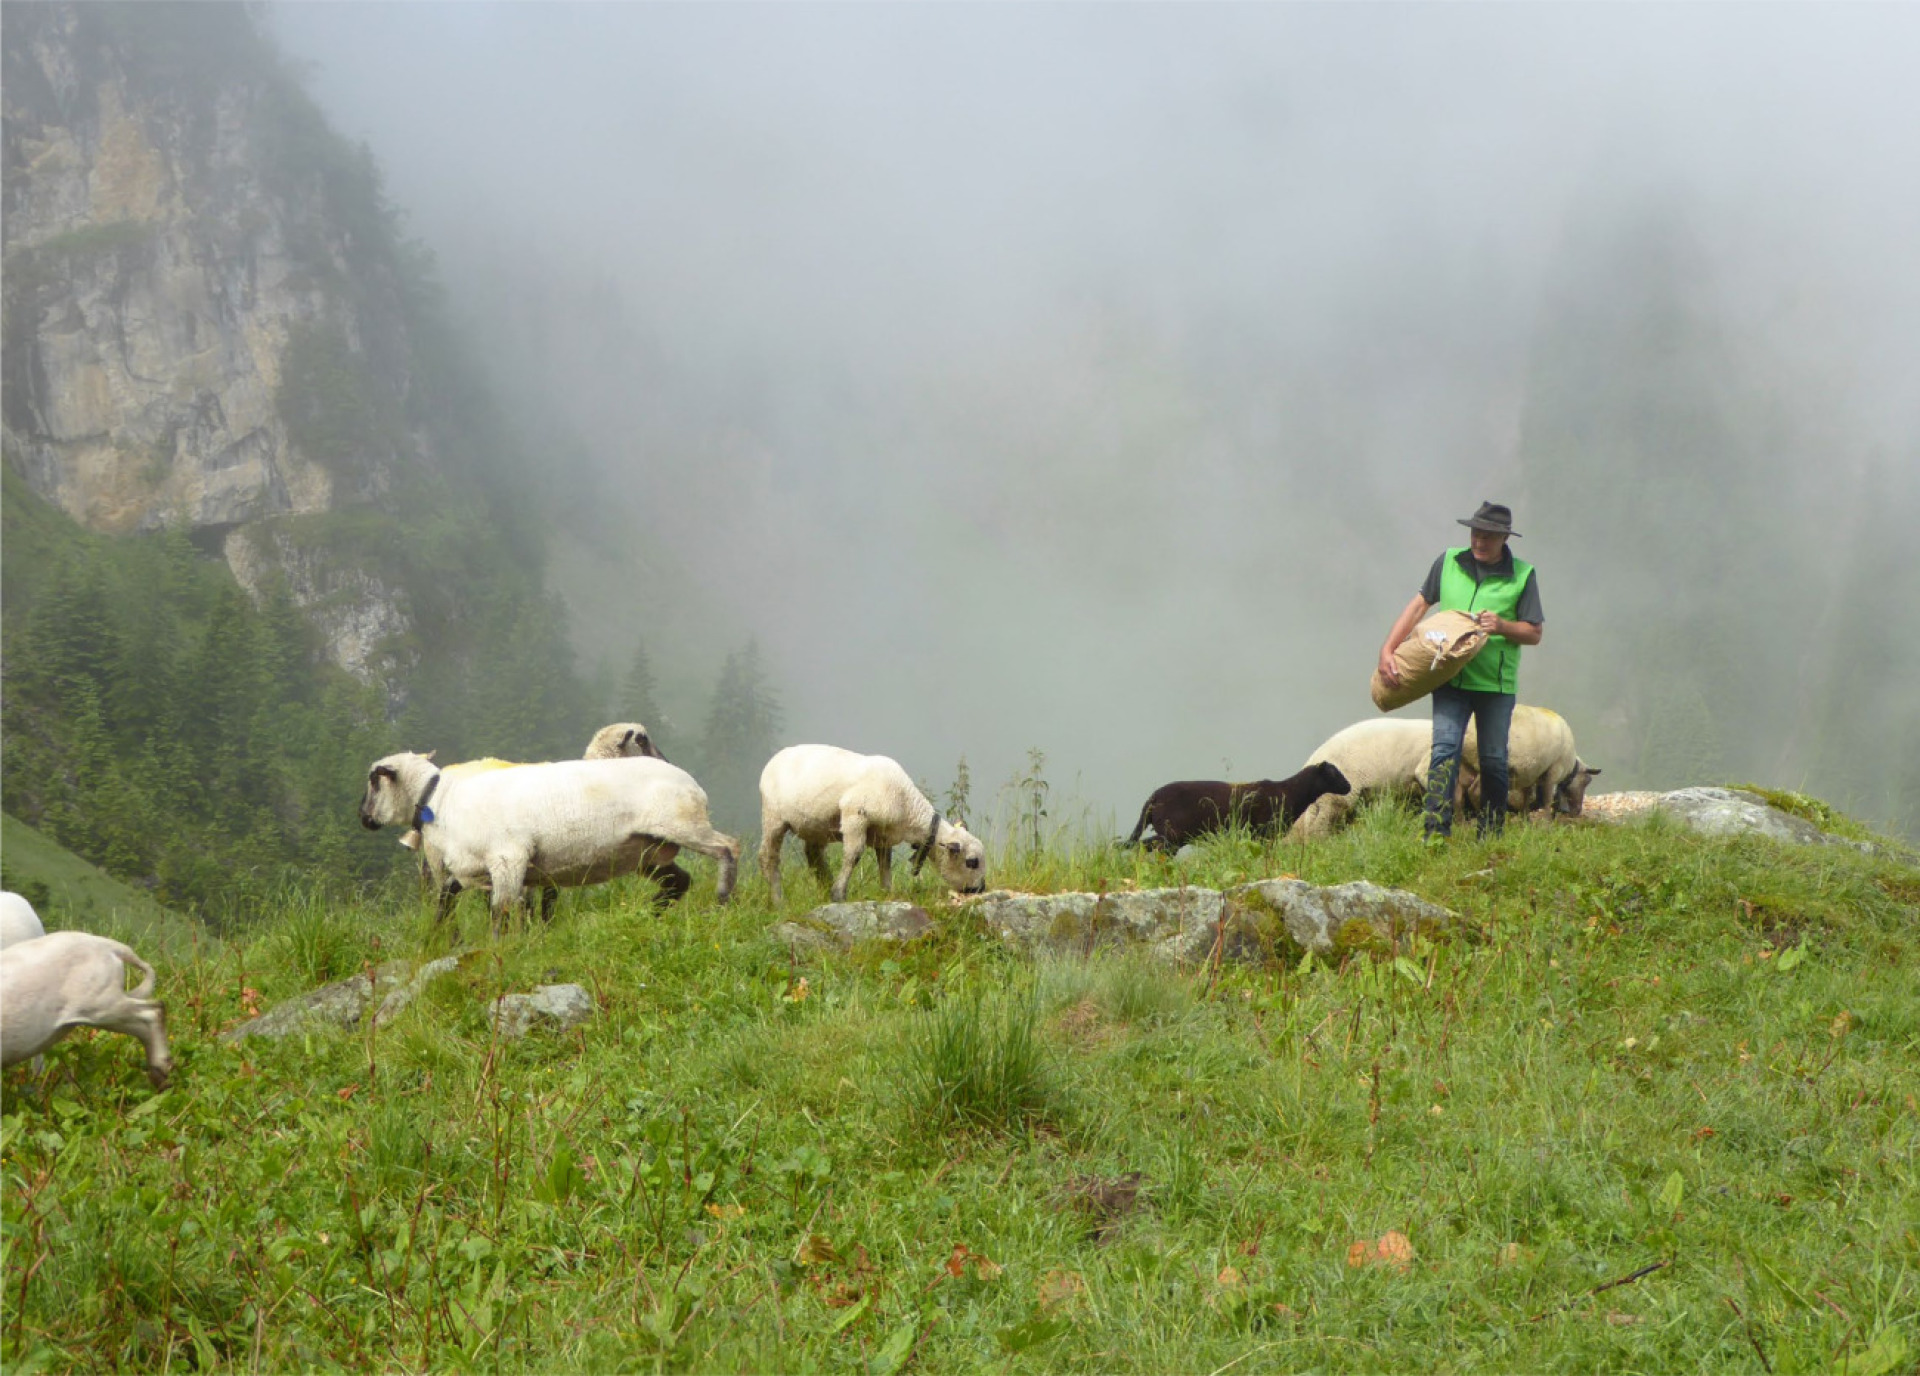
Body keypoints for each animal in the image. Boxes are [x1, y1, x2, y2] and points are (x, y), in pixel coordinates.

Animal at [360, 744, 741, 928]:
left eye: (374, 780)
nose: (363, 818)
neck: (442, 800)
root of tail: (691, 782)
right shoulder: (472, 871)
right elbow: (447, 902)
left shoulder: (509, 859)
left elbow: (502, 912)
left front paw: (502, 951)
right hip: (647, 849)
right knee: (679, 880)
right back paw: (653, 913)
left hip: (681, 823)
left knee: (728, 847)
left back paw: (722, 898)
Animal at [752, 744, 983, 905]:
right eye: (972, 862)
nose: (980, 889)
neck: (907, 805)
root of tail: (774, 760)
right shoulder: (854, 814)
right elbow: (853, 855)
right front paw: (839, 894)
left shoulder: (883, 834)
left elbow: (885, 863)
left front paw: (887, 891)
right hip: (773, 816)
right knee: (768, 857)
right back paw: (779, 900)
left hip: (815, 824)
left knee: (814, 855)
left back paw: (825, 884)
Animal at [1121, 763, 1359, 848]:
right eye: (1335, 773)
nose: (1349, 786)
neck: (1290, 794)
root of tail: (1152, 798)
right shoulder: (1263, 831)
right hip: (1171, 833)